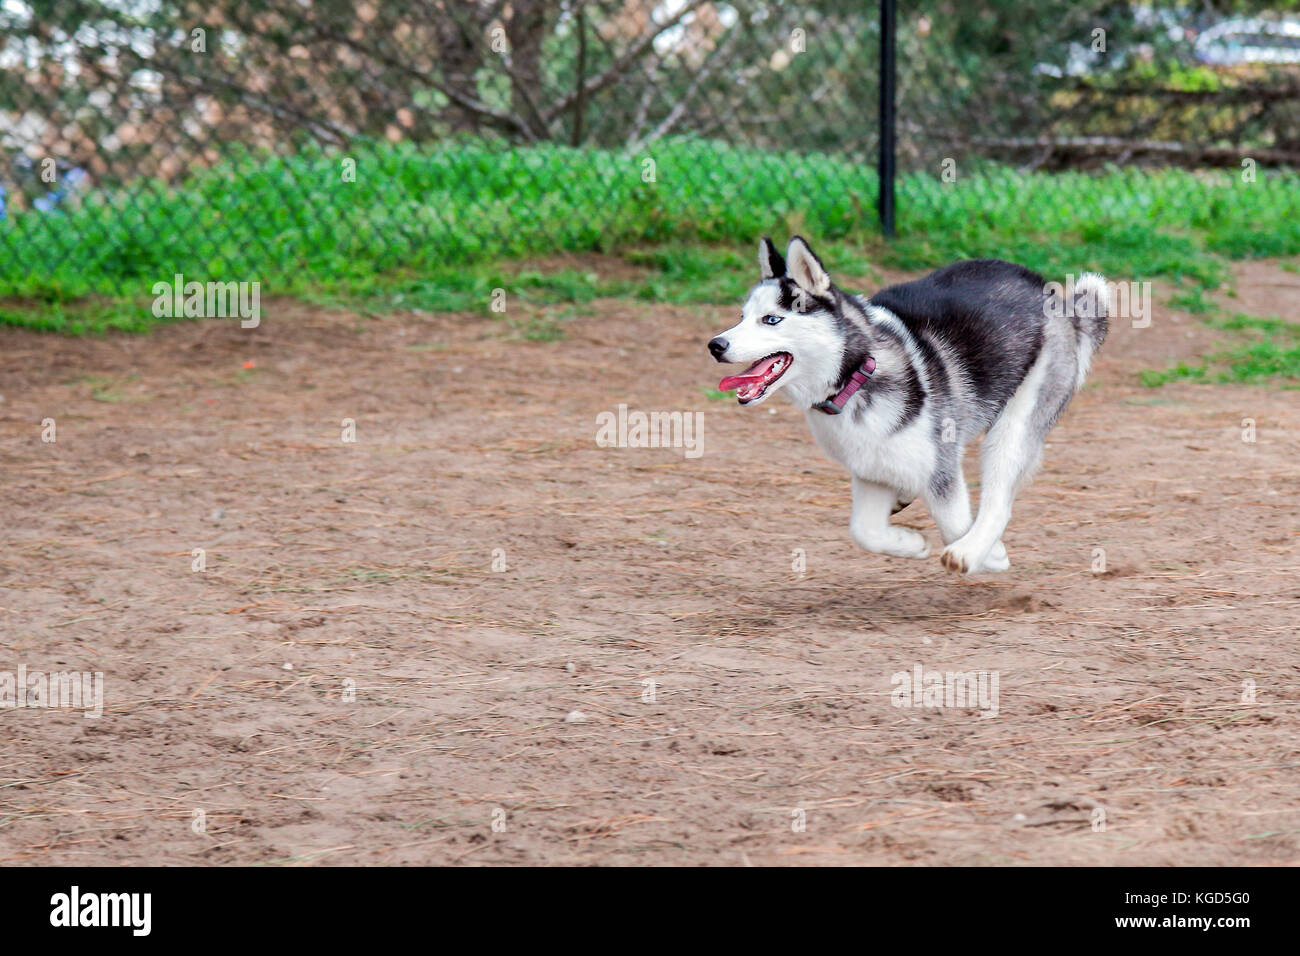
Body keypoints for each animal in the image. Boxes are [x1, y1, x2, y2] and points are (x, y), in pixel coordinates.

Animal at [712, 234, 1107, 572]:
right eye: (741, 317)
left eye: (772, 319)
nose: (715, 345)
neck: (858, 375)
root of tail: (1051, 293)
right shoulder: (869, 468)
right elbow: (865, 532)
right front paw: (911, 544)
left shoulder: (941, 464)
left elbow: (954, 522)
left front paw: (988, 555)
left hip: (1015, 426)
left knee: (999, 499)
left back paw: (974, 547)